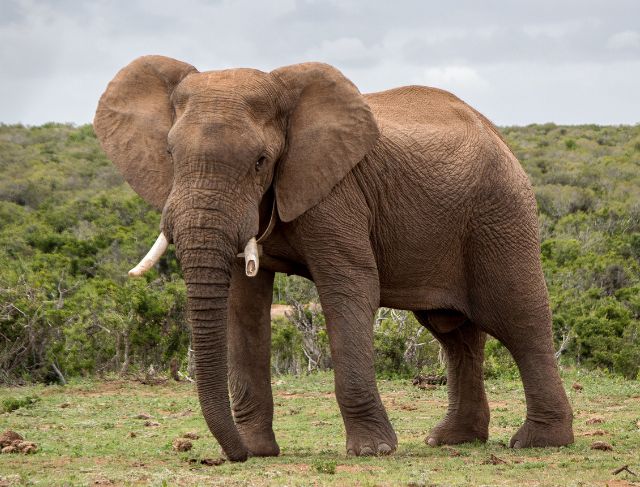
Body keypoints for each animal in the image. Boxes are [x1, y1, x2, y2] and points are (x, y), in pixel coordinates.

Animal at [94, 55, 574, 461]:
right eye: (170, 155)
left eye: (261, 161)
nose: (234, 456)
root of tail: (498, 135)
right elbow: (242, 304)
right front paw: (258, 450)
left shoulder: (338, 193)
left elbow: (350, 288)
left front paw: (373, 452)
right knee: (453, 332)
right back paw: (452, 440)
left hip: (500, 212)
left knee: (518, 316)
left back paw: (538, 443)